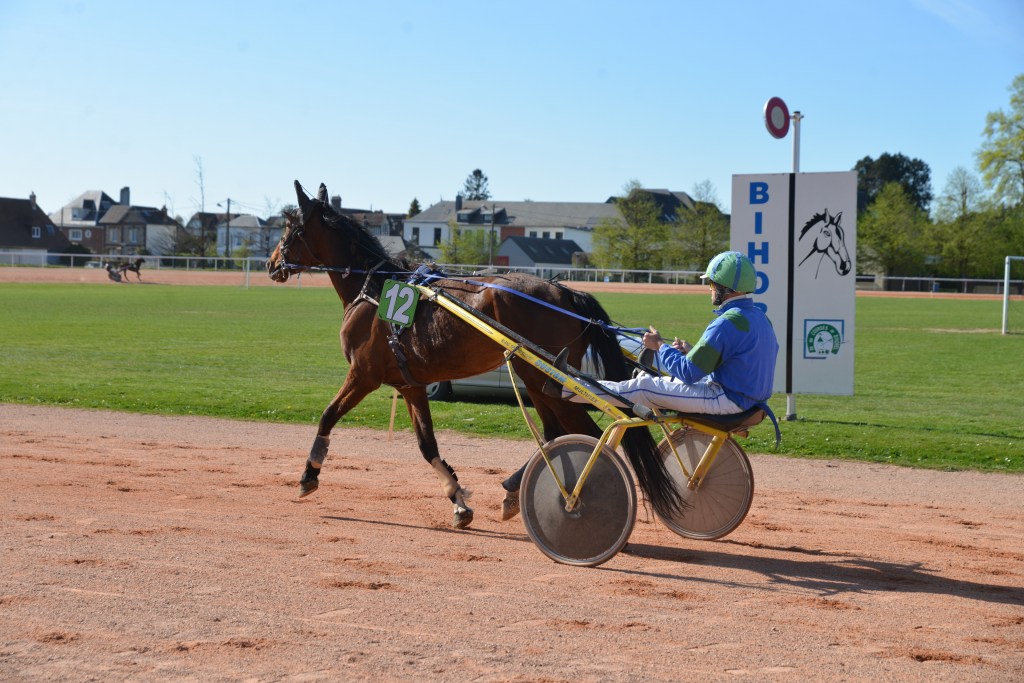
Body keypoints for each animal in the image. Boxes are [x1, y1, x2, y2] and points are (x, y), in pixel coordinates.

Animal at [267, 180, 683, 529]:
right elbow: (427, 446)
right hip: (536, 378)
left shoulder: (363, 375)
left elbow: (327, 416)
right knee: (555, 433)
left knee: (588, 433)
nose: (271, 264)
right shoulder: (410, 385)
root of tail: (566, 293)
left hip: (540, 376)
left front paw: (308, 475)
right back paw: (515, 490)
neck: (371, 287)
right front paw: (458, 501)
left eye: (288, 226)